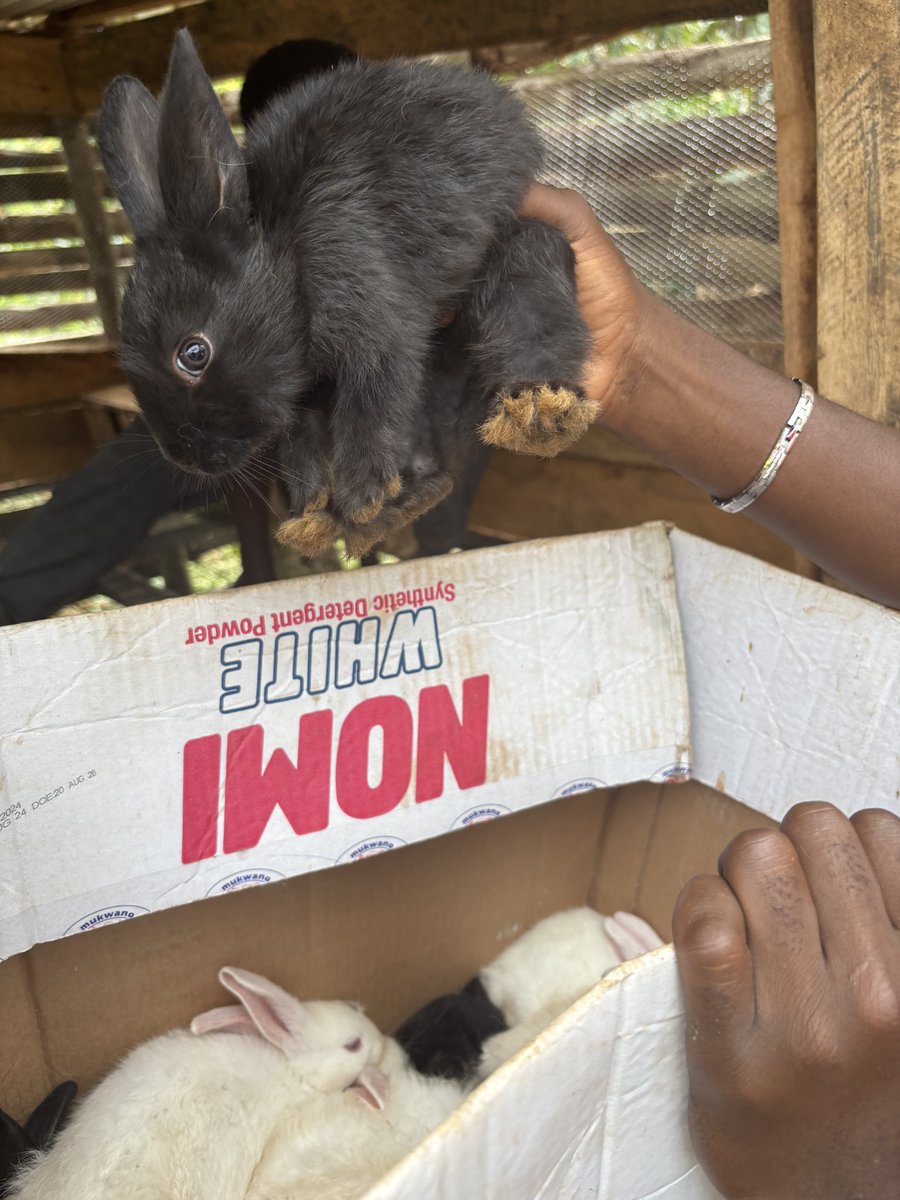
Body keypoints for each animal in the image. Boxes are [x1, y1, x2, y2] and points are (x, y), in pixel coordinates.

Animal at [97, 32, 594, 560]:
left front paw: (359, 500)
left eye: (193, 353)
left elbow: (369, 410)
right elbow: (301, 442)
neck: (288, 258)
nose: (189, 459)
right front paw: (310, 517)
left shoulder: (374, 323)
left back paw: (539, 409)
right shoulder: (303, 389)